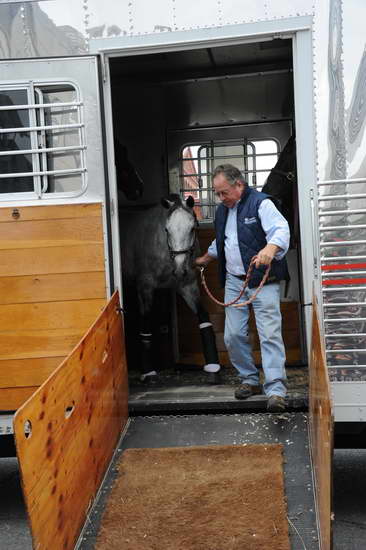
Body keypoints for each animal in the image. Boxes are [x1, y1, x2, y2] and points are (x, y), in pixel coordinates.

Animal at [119, 196, 220, 386]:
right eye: (167, 229)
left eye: (192, 228)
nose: (180, 270)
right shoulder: (145, 287)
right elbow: (146, 323)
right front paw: (148, 372)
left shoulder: (187, 286)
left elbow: (203, 318)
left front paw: (213, 369)